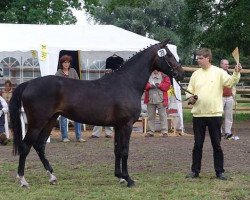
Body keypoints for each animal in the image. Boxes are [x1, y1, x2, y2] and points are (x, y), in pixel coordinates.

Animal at [9, 39, 184, 188]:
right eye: (169, 55)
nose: (180, 73)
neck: (127, 83)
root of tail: (28, 83)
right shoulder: (126, 125)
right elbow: (125, 150)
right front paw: (129, 179)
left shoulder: (118, 126)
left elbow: (117, 150)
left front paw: (120, 177)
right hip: (37, 123)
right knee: (25, 146)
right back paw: (23, 180)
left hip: (50, 120)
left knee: (40, 145)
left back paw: (52, 177)